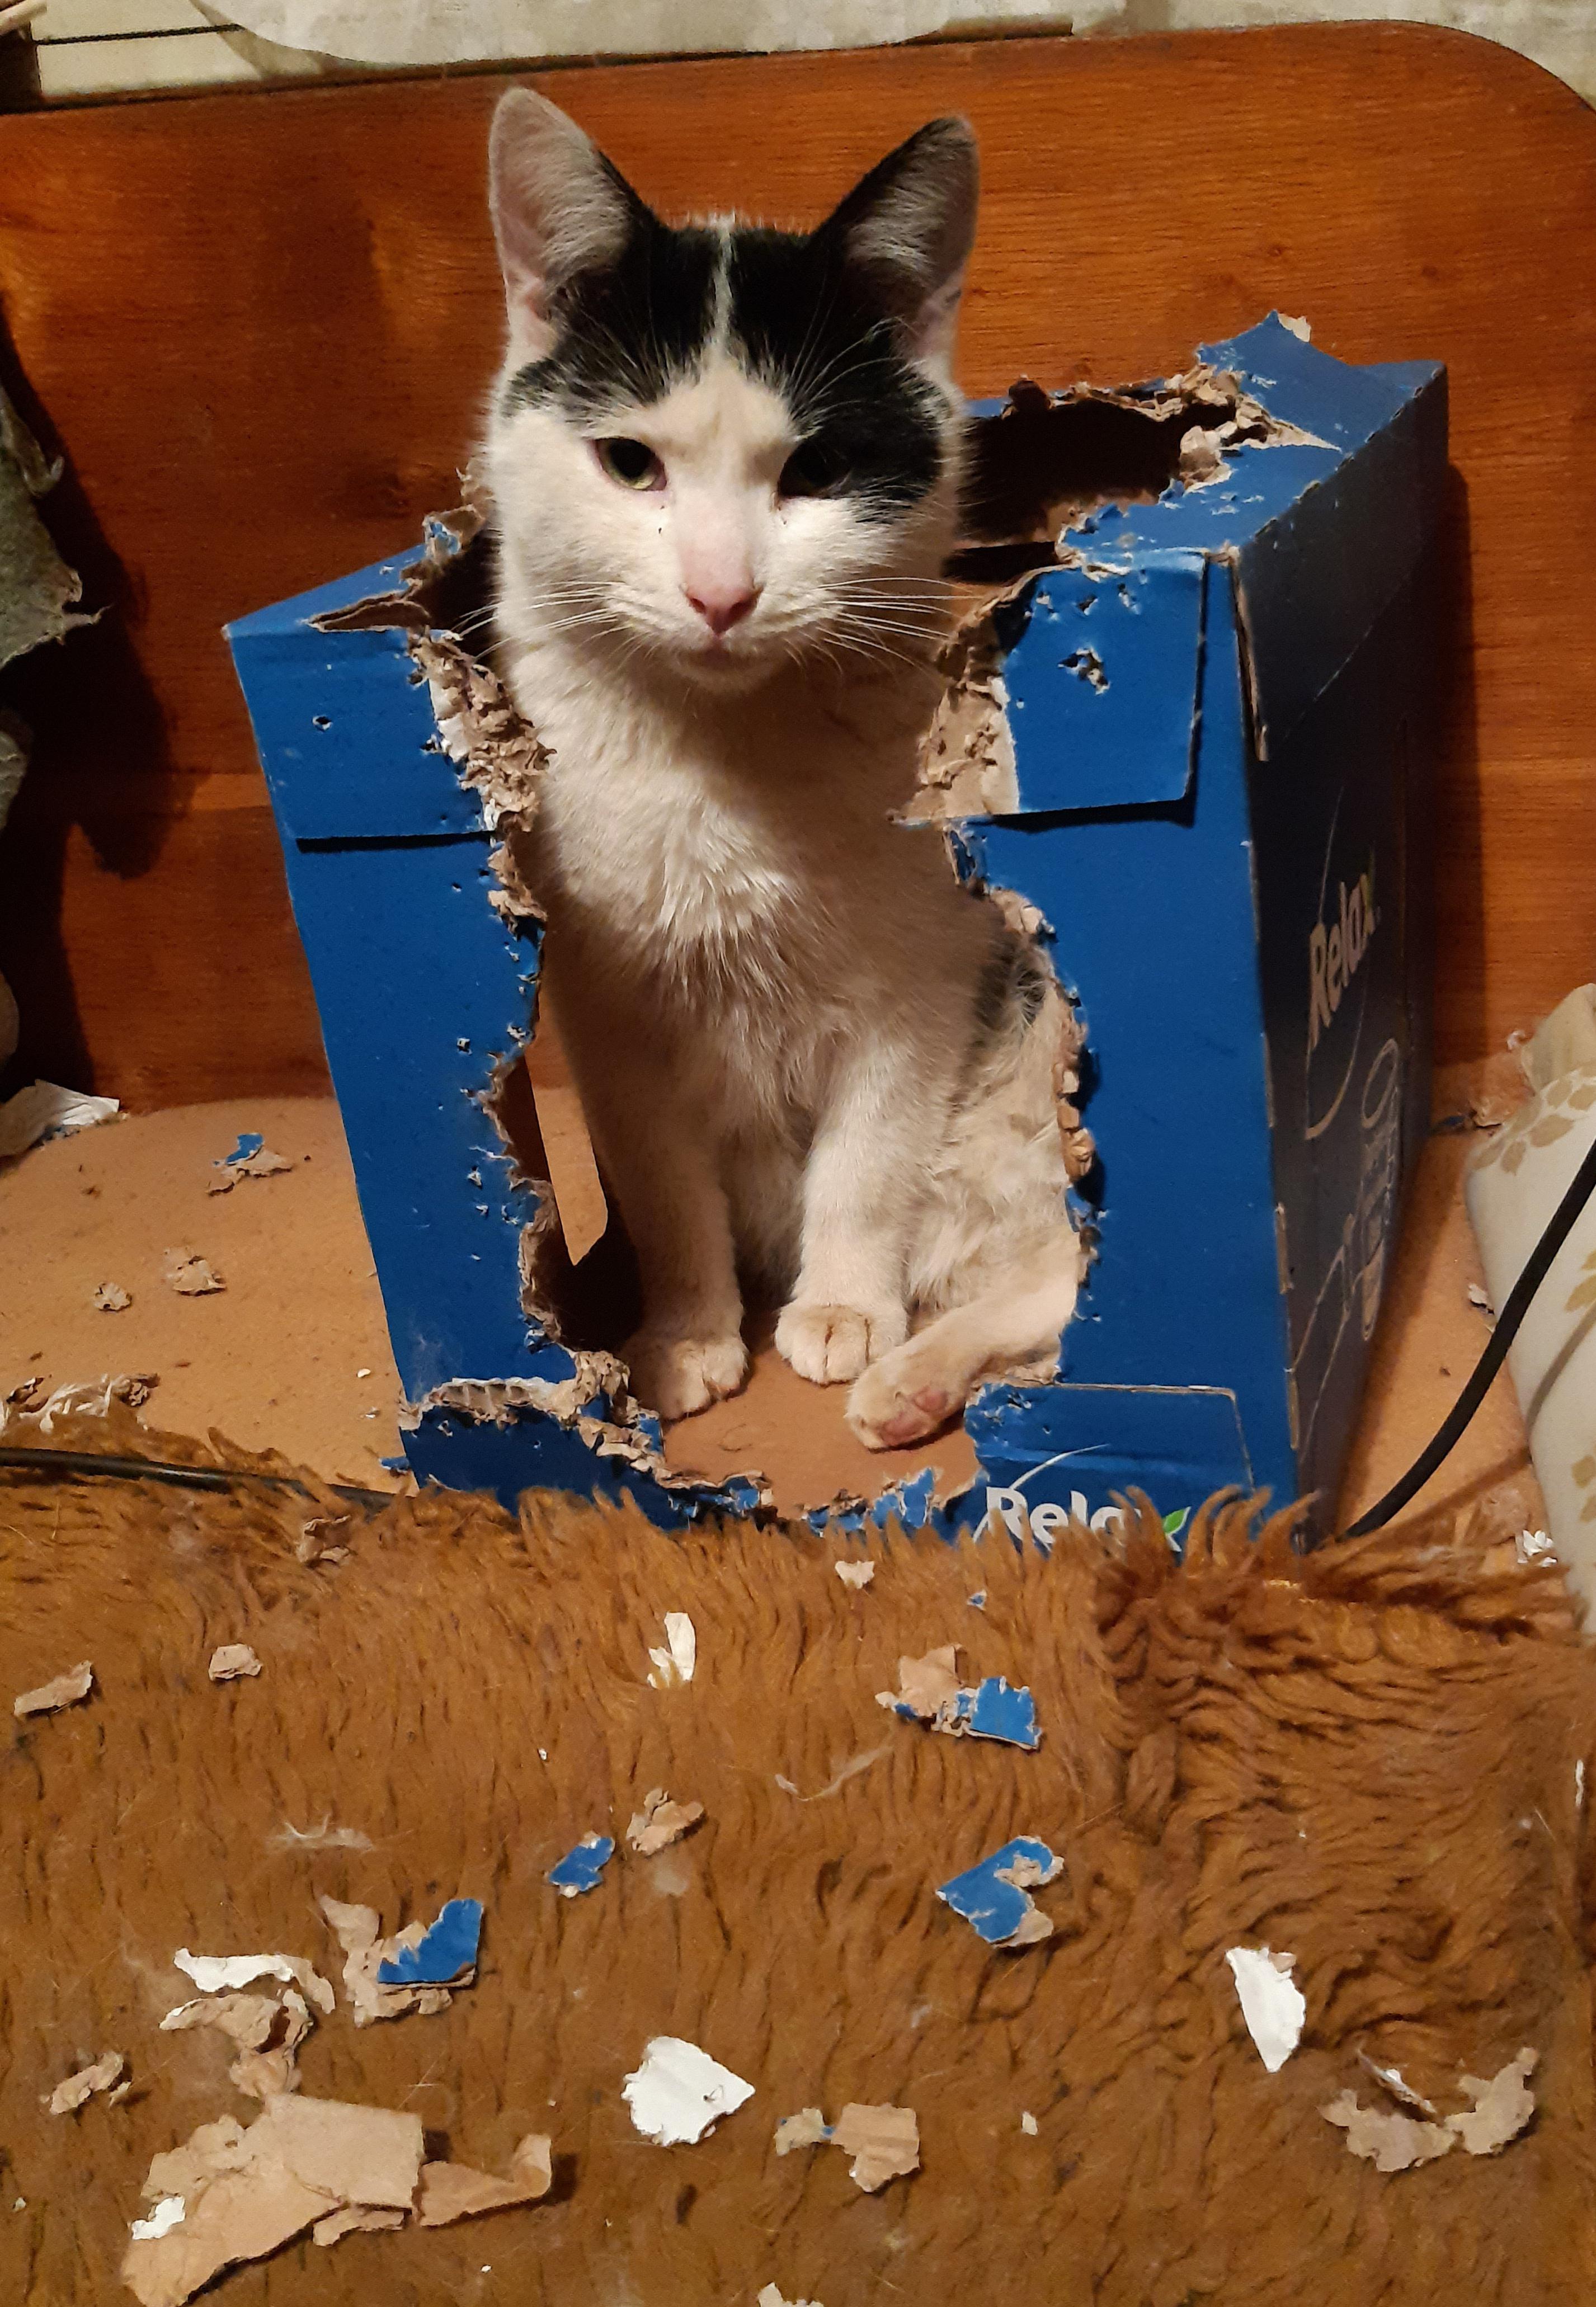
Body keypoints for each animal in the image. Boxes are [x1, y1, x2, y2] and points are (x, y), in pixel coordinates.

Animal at [482, 87, 1083, 1453]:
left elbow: (864, 1166)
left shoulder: (922, 985)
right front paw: (687, 1334)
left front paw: (842, 1304)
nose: (720, 593)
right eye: (630, 464)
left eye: (816, 471)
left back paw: (904, 1372)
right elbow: (665, 1194)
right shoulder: (614, 1025)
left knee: (1070, 1271)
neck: (729, 768)